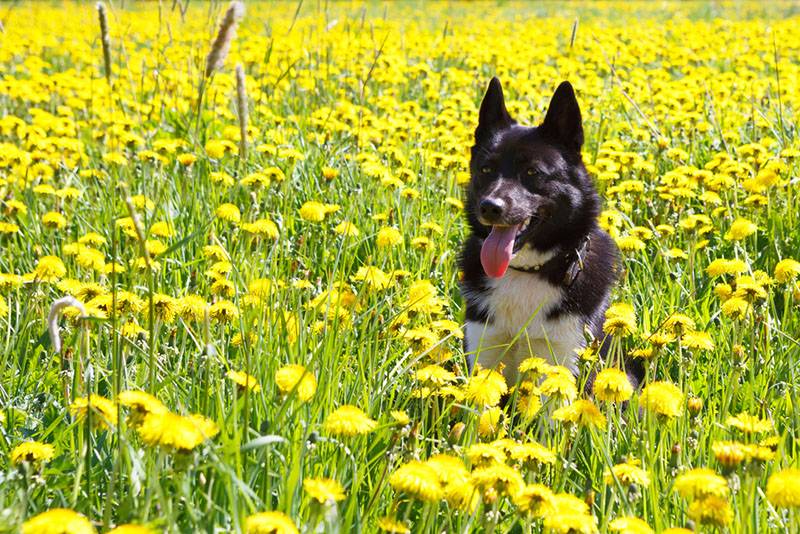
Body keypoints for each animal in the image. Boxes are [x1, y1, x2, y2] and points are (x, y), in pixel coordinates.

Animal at [460, 77, 640, 392]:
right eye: (486, 169)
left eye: (533, 172)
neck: (526, 271)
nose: (490, 207)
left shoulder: (562, 363)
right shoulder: (485, 352)